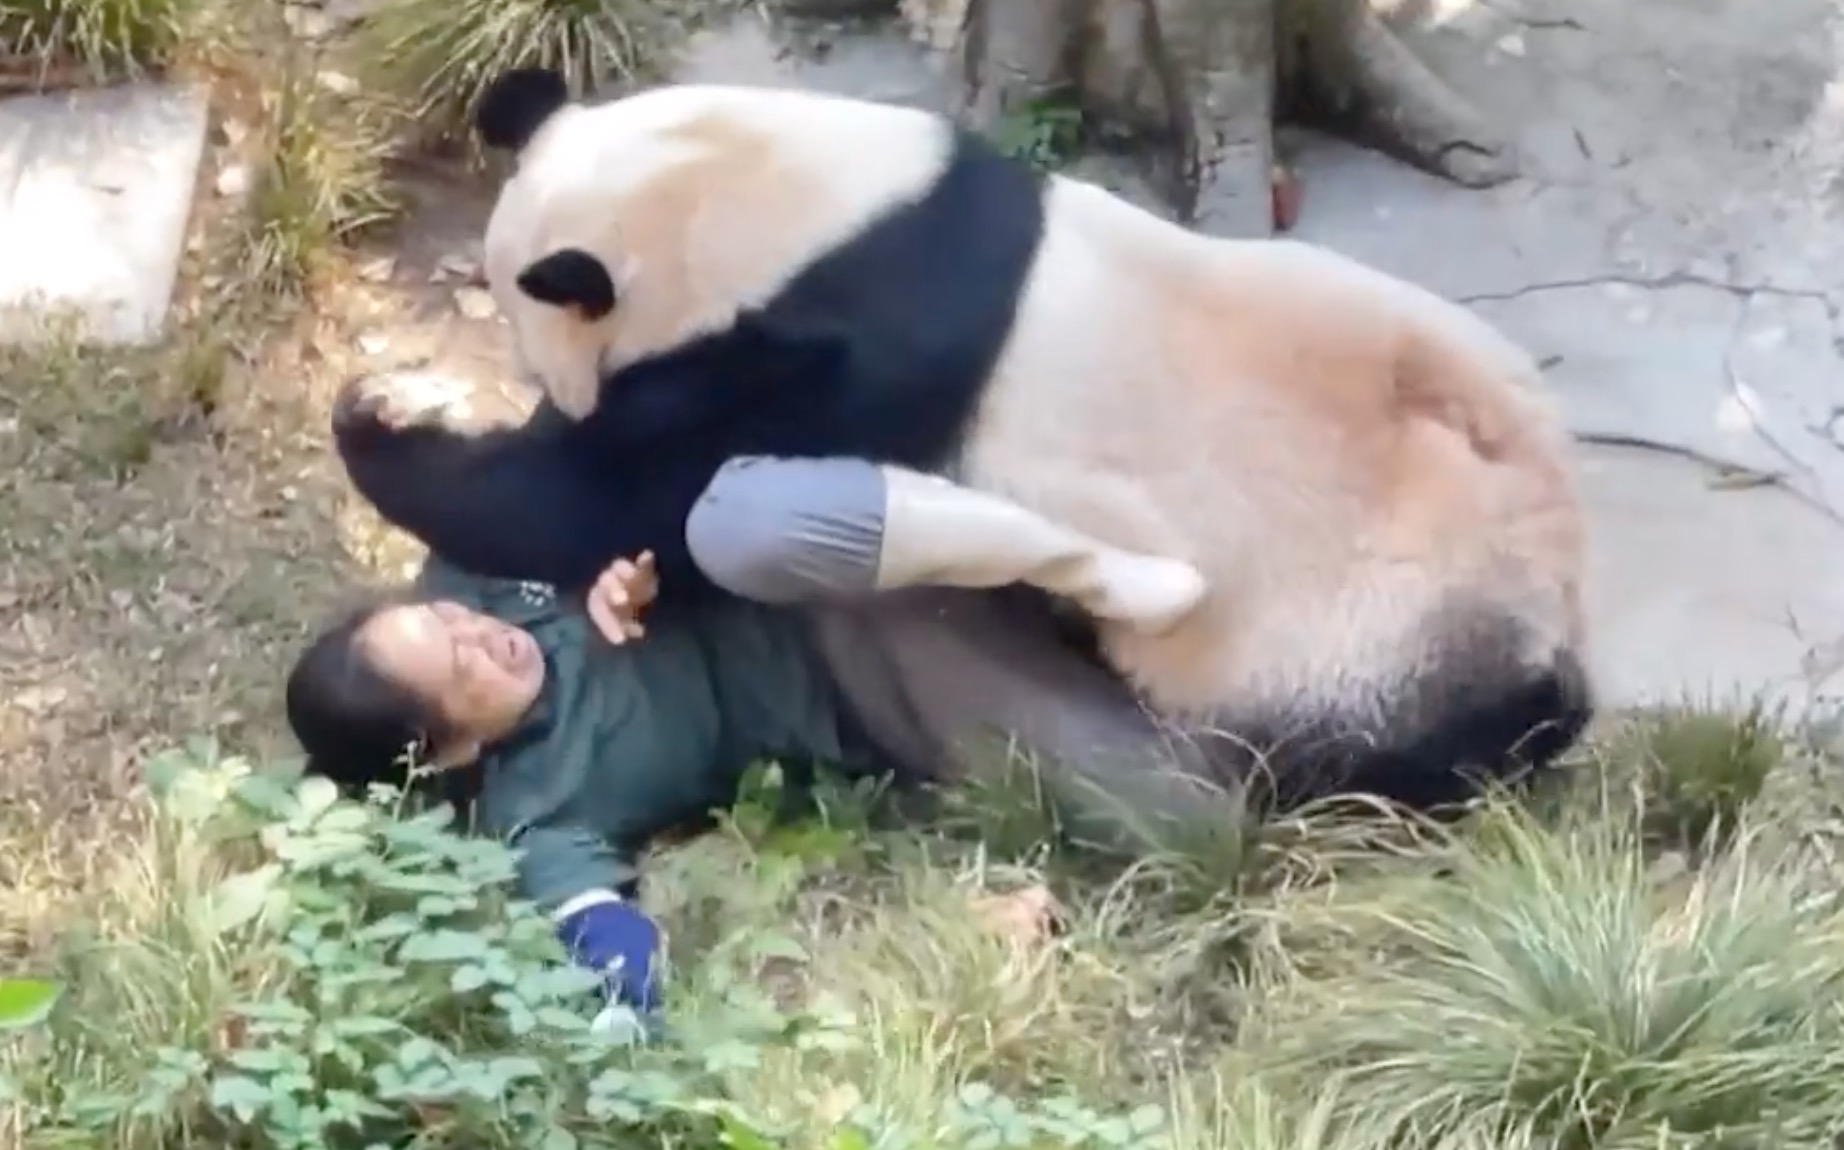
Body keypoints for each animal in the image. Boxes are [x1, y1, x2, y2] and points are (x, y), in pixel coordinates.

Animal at [339, 67, 1593, 814]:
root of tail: (1550, 616)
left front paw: (381, 431)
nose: (559, 398)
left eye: (533, 354)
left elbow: (630, 497)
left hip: (1359, 630)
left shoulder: (860, 353)